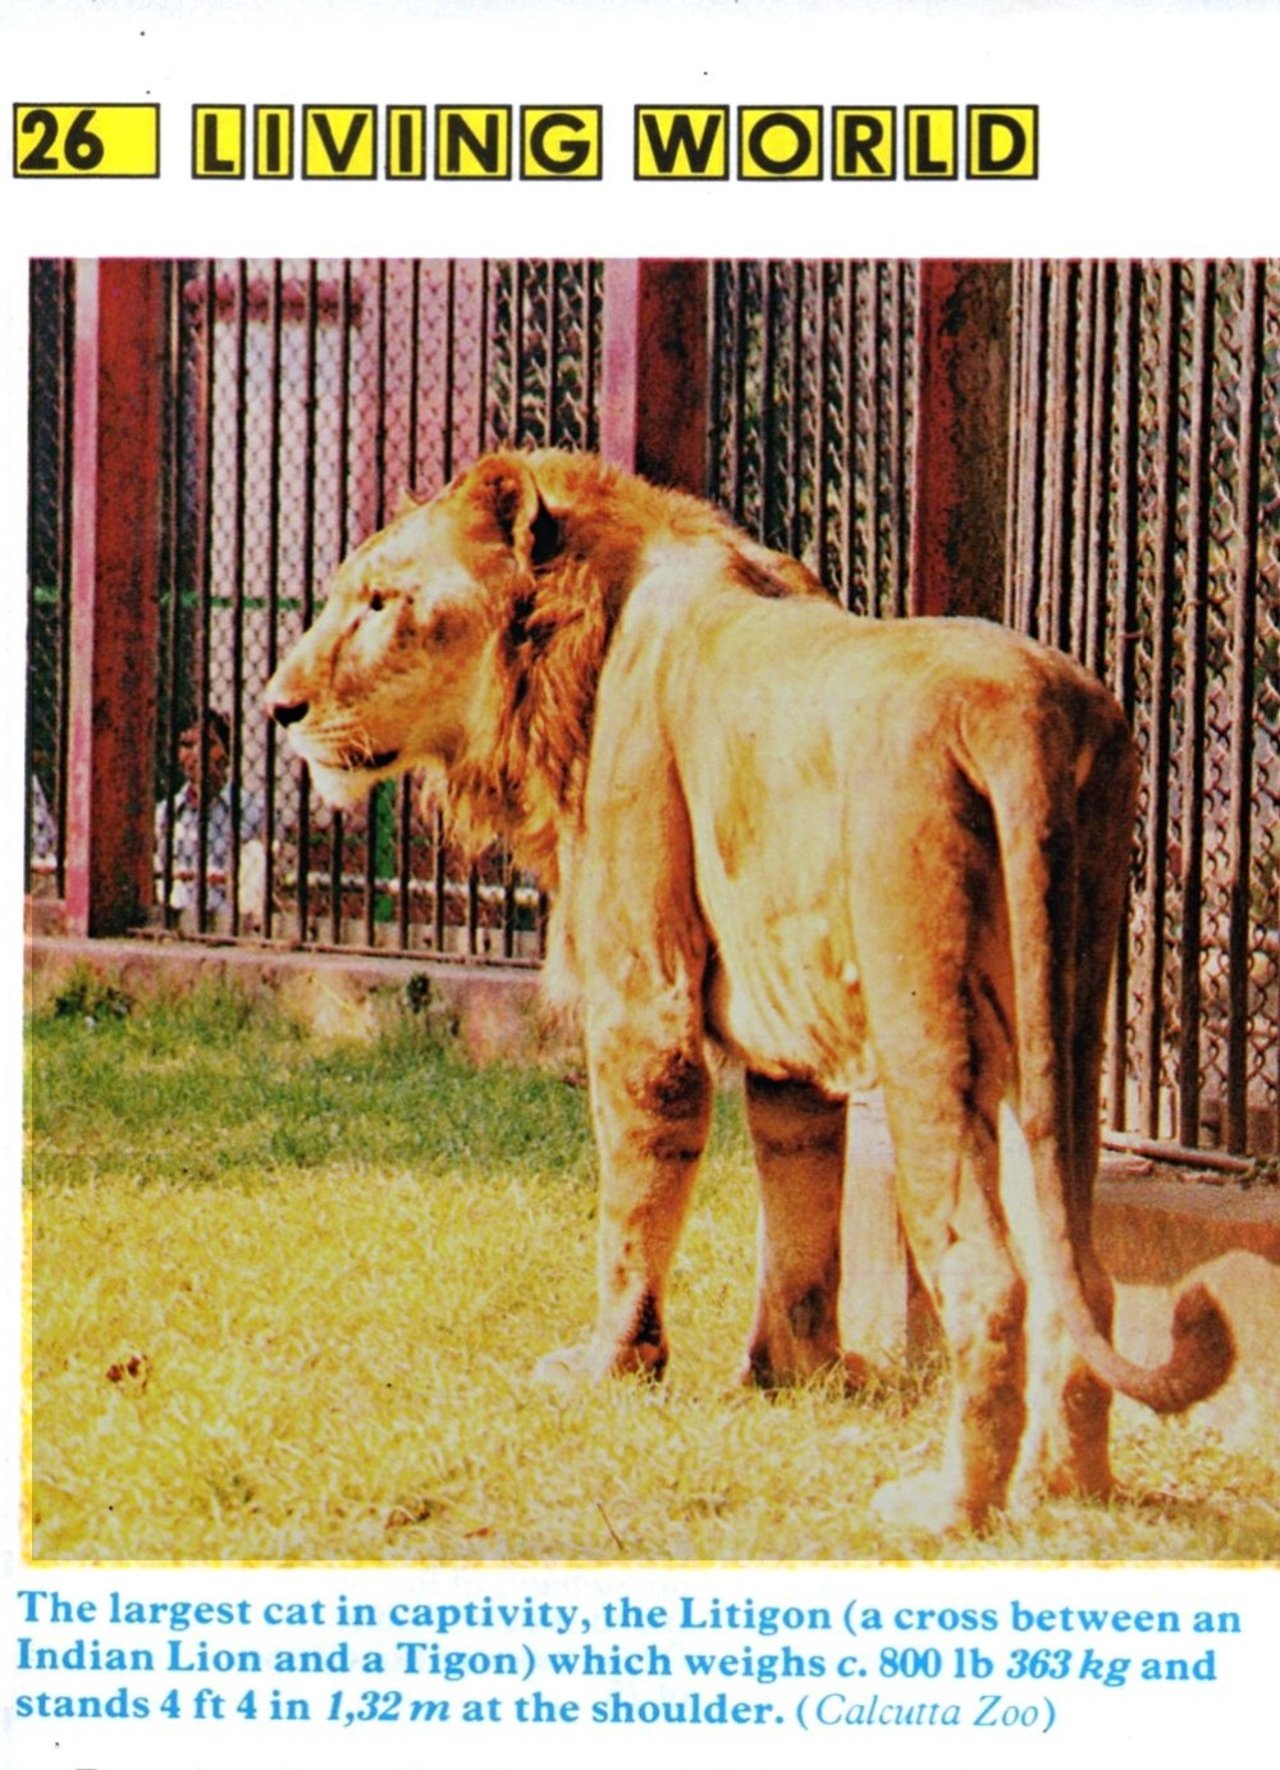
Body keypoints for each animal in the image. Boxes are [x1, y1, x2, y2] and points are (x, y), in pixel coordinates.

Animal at [265, 449, 1239, 1529]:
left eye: (381, 602)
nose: (277, 707)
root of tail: (1019, 707)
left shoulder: (641, 997)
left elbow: (634, 1196)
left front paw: (609, 1367)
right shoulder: (790, 1038)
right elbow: (800, 1210)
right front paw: (794, 1373)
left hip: (925, 1026)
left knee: (987, 1274)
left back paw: (946, 1505)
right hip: (1062, 1032)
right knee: (1085, 1274)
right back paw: (1062, 1489)